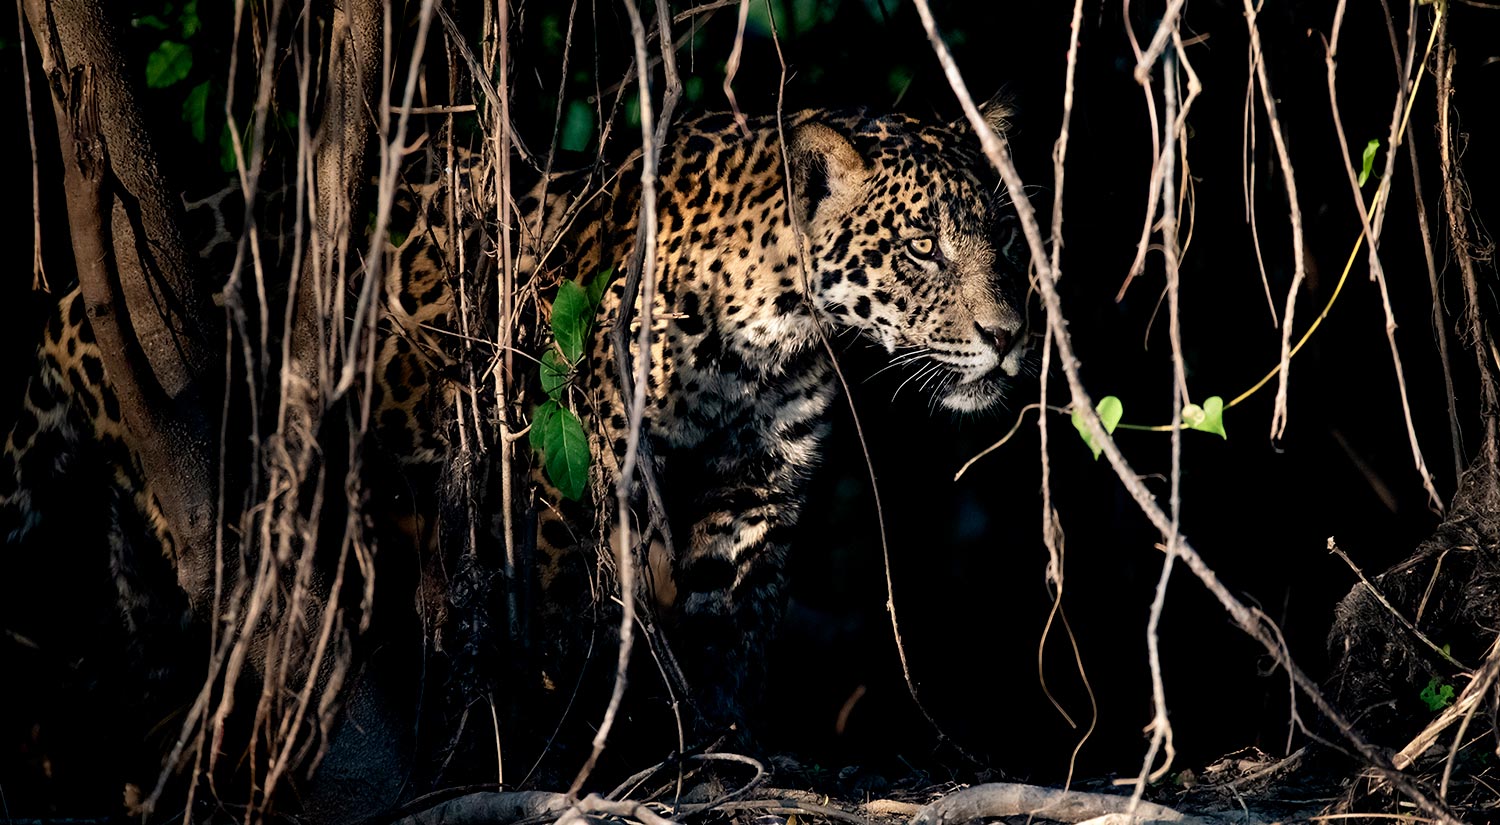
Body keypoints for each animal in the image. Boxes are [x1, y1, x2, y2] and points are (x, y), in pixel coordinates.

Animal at [0, 100, 1033, 774]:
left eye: (1004, 240)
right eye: (921, 247)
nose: (1011, 335)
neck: (775, 329)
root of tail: (72, 302)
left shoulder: (758, 485)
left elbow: (732, 627)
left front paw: (726, 747)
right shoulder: (580, 470)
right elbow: (586, 622)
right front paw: (581, 756)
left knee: (153, 647)